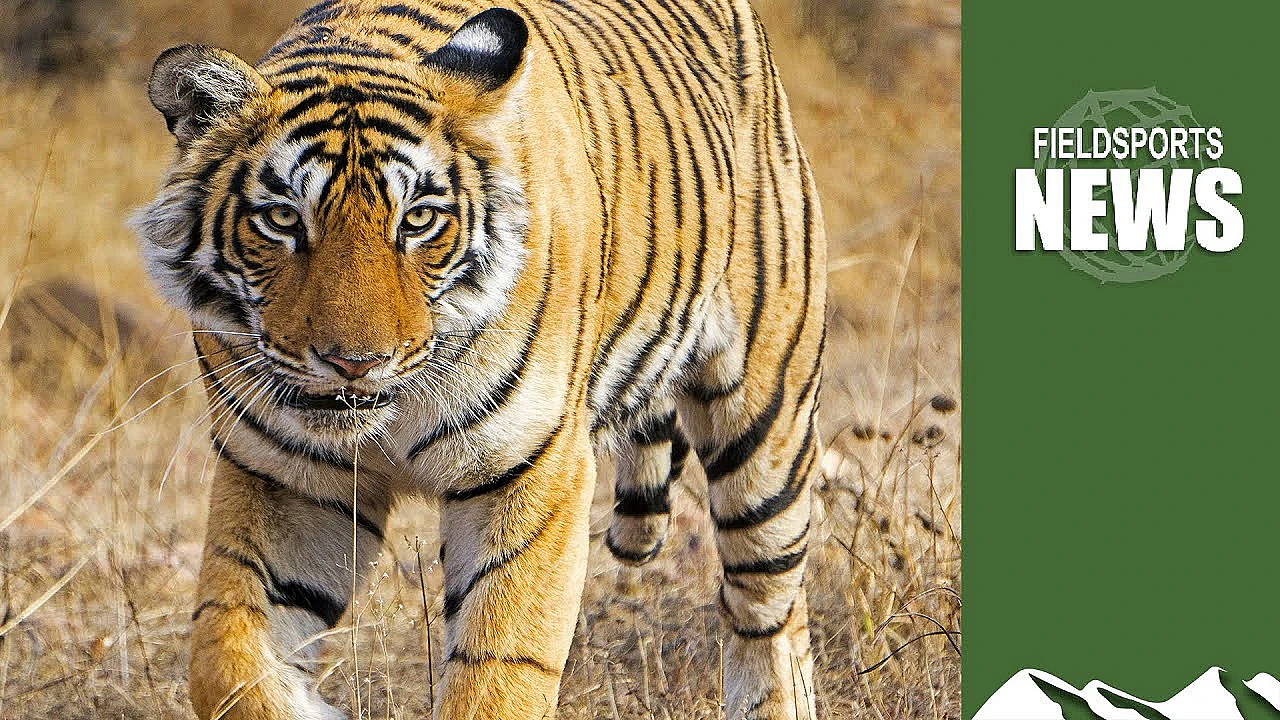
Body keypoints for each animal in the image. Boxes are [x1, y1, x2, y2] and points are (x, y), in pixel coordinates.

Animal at [130, 0, 827, 718]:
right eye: (282, 220)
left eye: (417, 220)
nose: (356, 362)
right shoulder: (287, 478)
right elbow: (226, 660)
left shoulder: (533, 468)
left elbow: (500, 670)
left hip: (765, 418)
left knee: (768, 604)